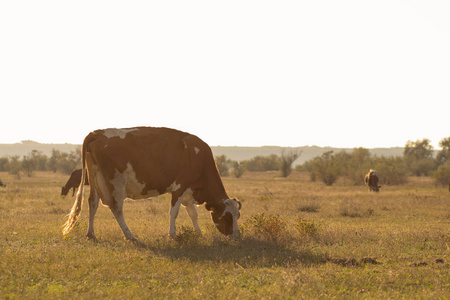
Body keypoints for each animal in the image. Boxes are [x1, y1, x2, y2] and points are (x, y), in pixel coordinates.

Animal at [62, 126, 243, 241]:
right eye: (227, 215)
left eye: (238, 215)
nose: (236, 236)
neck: (198, 156)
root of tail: (97, 133)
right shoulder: (179, 187)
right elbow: (174, 212)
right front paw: (172, 235)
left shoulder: (189, 192)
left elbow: (193, 214)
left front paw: (200, 234)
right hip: (116, 183)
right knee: (116, 208)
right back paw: (130, 235)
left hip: (95, 178)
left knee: (92, 203)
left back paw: (91, 234)